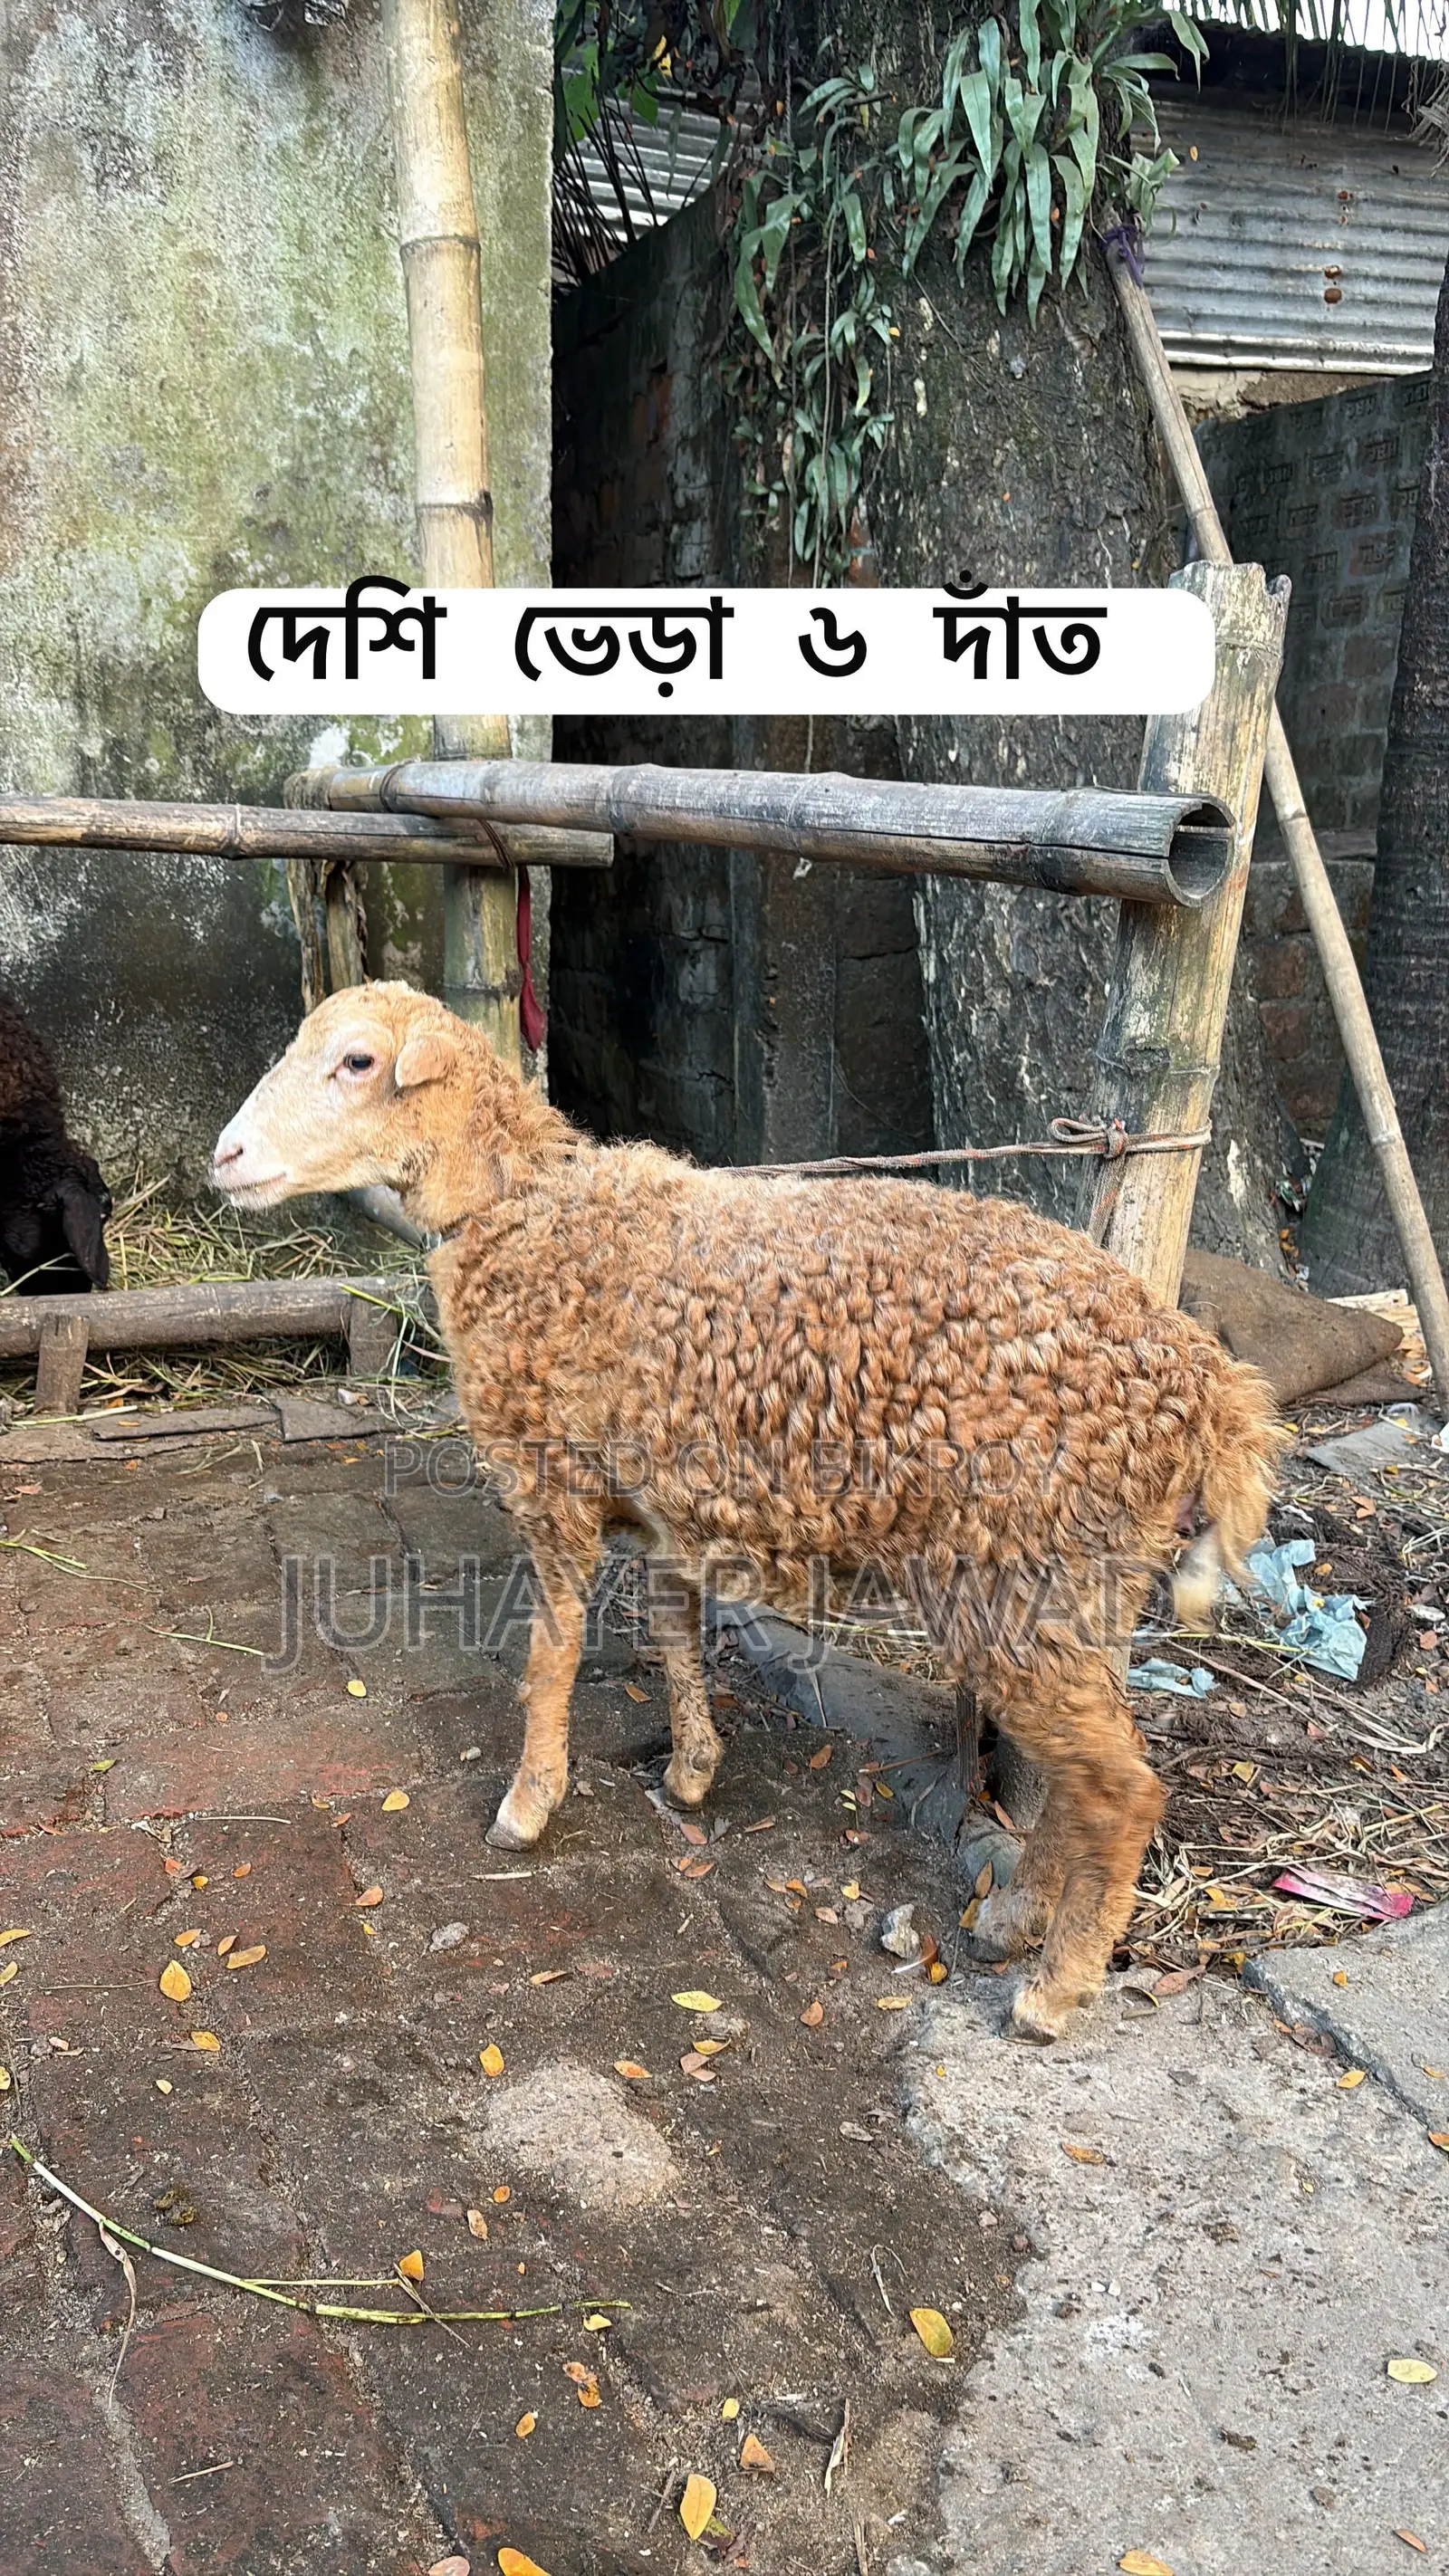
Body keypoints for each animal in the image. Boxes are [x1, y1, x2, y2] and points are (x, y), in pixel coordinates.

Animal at [213, 980, 1286, 2040]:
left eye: (357, 1061)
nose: (225, 1157)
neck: (526, 1210)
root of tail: (1207, 1386)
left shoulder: (553, 1482)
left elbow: (552, 1651)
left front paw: (528, 1805)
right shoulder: (664, 1512)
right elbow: (673, 1635)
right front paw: (692, 1769)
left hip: (1022, 1570)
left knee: (1122, 1786)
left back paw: (1052, 1991)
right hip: (1084, 1579)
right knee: (1083, 1769)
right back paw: (1014, 1920)